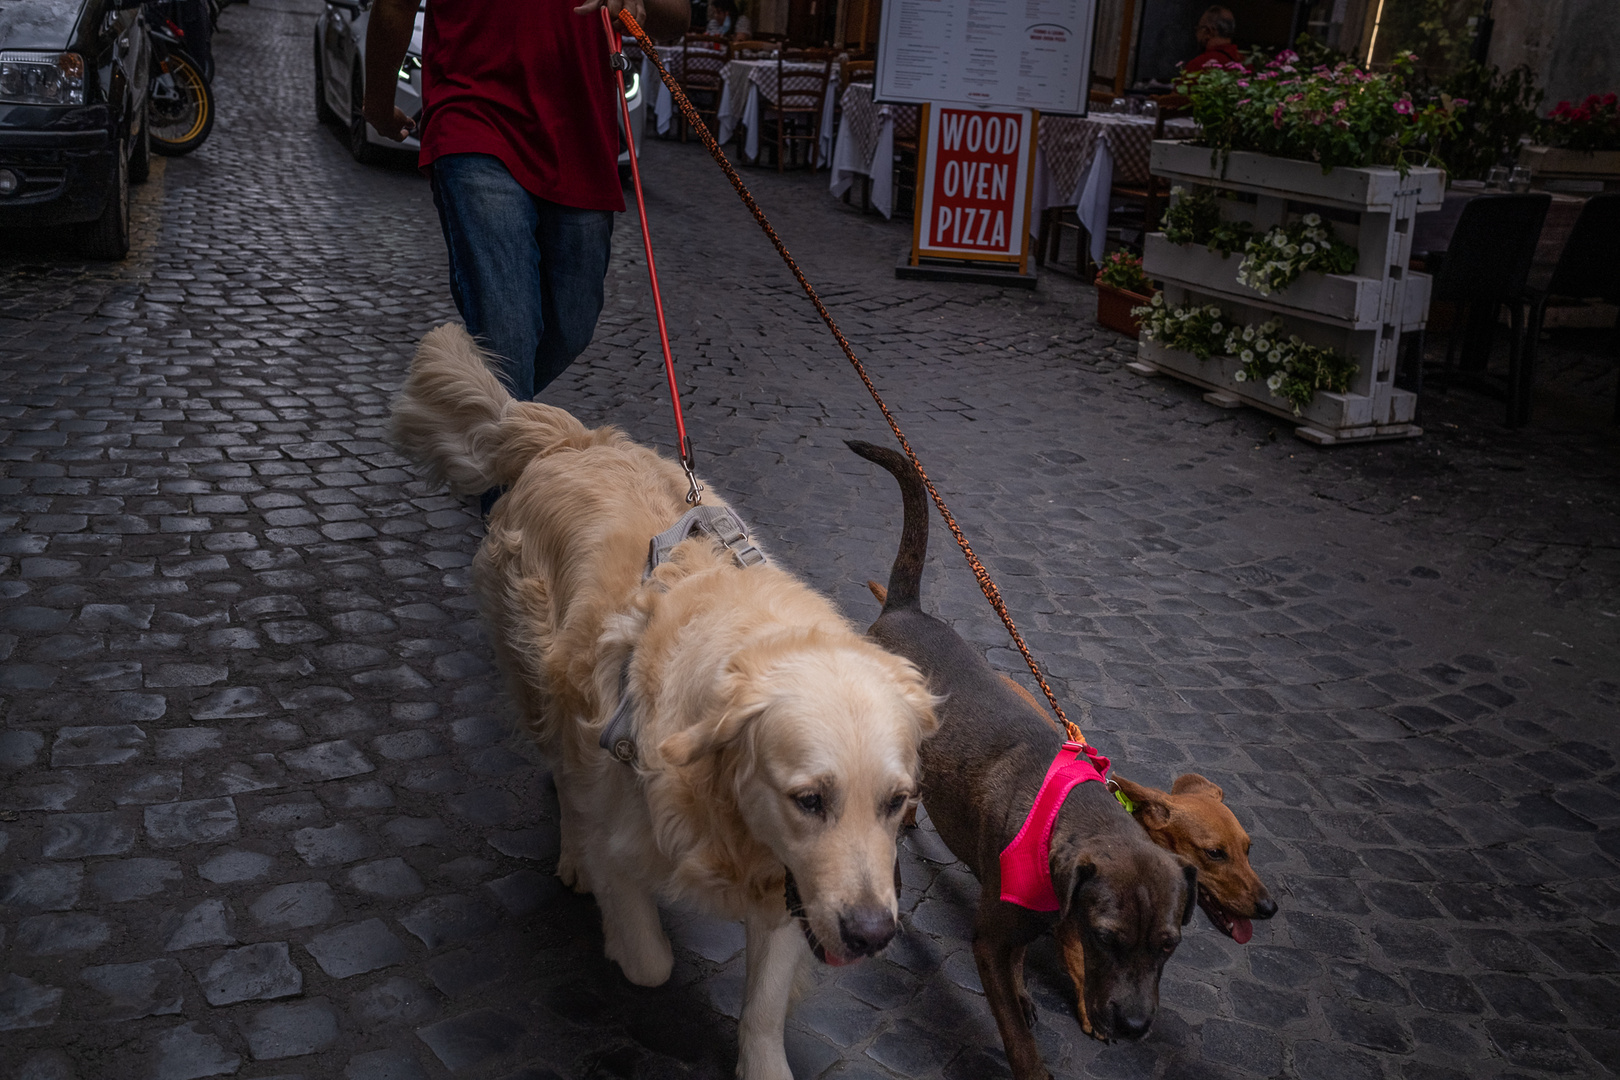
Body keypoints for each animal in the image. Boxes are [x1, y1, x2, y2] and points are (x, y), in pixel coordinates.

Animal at [388, 327, 939, 1080]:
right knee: (563, 769)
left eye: (898, 802)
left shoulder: (791, 886)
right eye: (808, 800)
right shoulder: (624, 821)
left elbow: (763, 1006)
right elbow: (647, 958)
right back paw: (570, 854)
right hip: (536, 672)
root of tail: (573, 440)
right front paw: (624, 932)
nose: (872, 935)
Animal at [848, 440, 1192, 1080]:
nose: (1134, 1027)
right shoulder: (990, 941)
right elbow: (1016, 1036)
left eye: (1168, 945)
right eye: (1106, 938)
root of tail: (903, 610)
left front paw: (1029, 993)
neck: (1065, 812)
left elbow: (1017, 972)